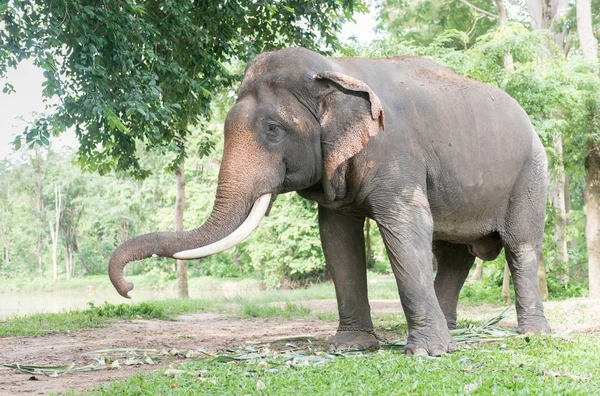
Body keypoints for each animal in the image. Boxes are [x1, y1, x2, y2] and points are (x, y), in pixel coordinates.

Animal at [109, 46, 552, 356]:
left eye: (273, 129)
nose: (129, 288)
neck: (335, 71)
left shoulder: (397, 154)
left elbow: (405, 228)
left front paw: (426, 354)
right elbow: (336, 238)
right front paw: (351, 347)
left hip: (531, 173)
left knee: (520, 245)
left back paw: (531, 333)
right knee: (454, 254)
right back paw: (453, 329)